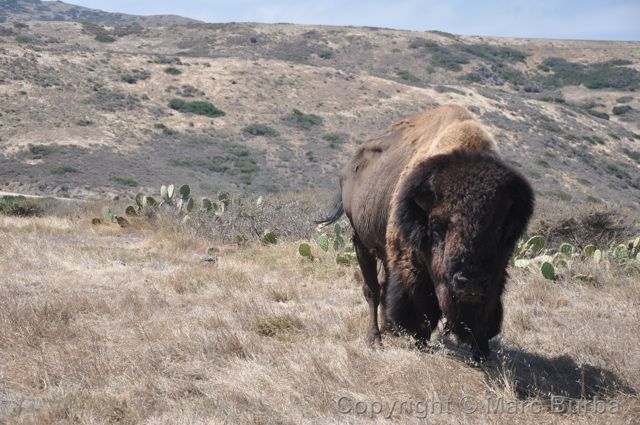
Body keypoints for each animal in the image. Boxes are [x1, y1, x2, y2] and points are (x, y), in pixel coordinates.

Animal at [320, 104, 536, 360]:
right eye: (437, 225)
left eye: (500, 227)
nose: (470, 284)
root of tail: (349, 170)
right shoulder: (411, 264)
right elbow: (419, 305)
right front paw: (420, 341)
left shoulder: (495, 277)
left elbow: (488, 310)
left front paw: (481, 352)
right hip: (361, 242)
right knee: (372, 289)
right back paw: (376, 339)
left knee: (382, 285)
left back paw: (389, 329)